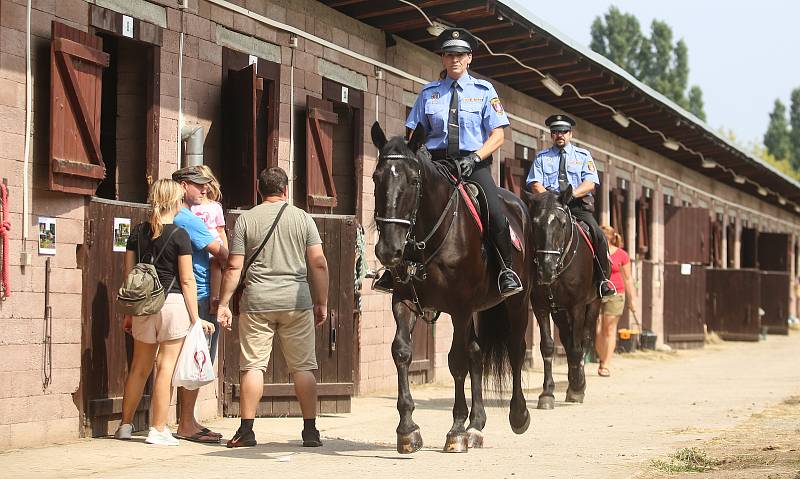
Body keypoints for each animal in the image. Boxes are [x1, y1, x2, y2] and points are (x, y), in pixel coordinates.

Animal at [372, 123, 536, 454]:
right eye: (375, 178)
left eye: (413, 180)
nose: (388, 250)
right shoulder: (404, 301)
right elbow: (402, 352)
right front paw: (407, 430)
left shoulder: (460, 307)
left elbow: (457, 361)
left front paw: (456, 431)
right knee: (477, 352)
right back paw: (476, 426)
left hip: (516, 303)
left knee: (514, 350)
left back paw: (518, 415)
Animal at [524, 188, 600, 408]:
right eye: (535, 223)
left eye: (562, 223)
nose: (546, 269)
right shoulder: (541, 306)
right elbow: (548, 347)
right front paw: (547, 394)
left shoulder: (577, 306)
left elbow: (576, 348)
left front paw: (577, 387)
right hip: (559, 312)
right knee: (566, 340)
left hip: (593, 305)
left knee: (583, 340)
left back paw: (577, 383)